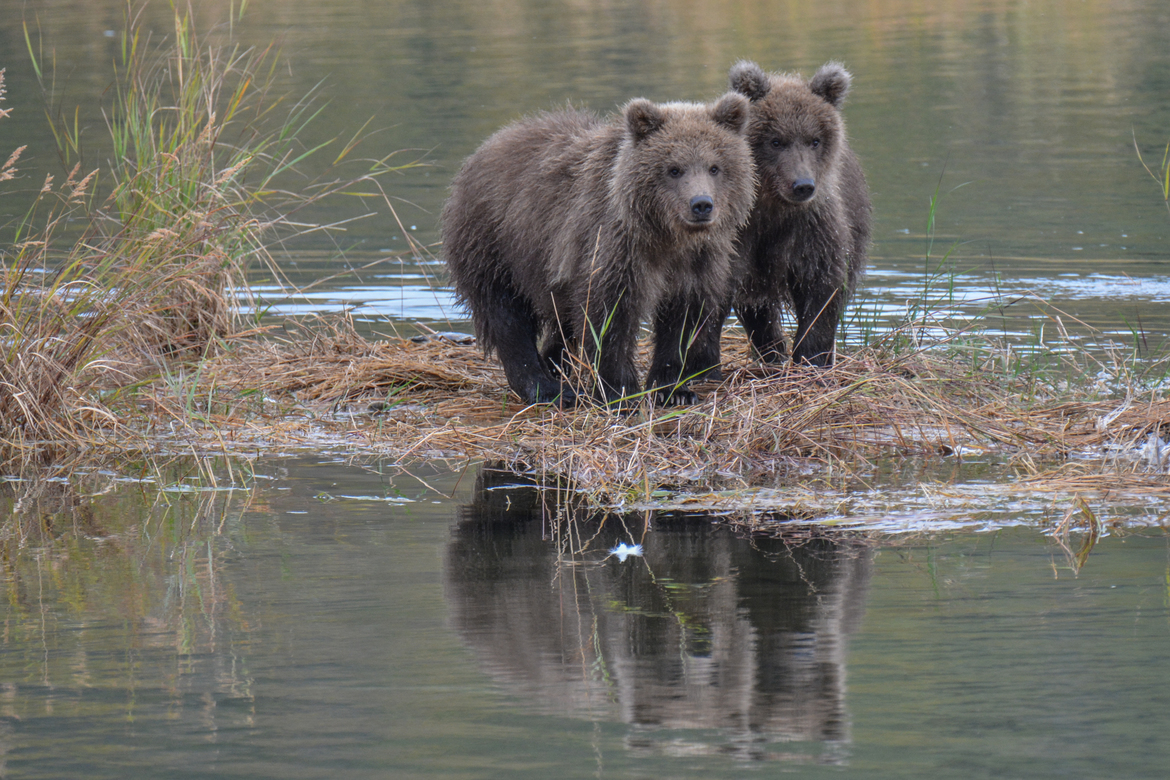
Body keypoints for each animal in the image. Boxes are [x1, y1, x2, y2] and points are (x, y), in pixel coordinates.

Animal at [441, 94, 756, 406]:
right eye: (674, 169)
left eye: (715, 167)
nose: (701, 204)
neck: (666, 237)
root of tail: (489, 144)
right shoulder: (614, 247)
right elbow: (609, 316)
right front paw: (621, 392)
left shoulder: (698, 262)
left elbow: (682, 322)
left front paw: (674, 390)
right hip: (495, 244)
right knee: (506, 316)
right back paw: (548, 388)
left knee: (560, 320)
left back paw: (556, 366)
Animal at [720, 60, 872, 368]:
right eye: (776, 141)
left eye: (814, 140)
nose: (802, 185)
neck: (774, 207)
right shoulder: (744, 236)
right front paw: (775, 350)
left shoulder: (814, 228)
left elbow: (822, 289)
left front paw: (811, 356)